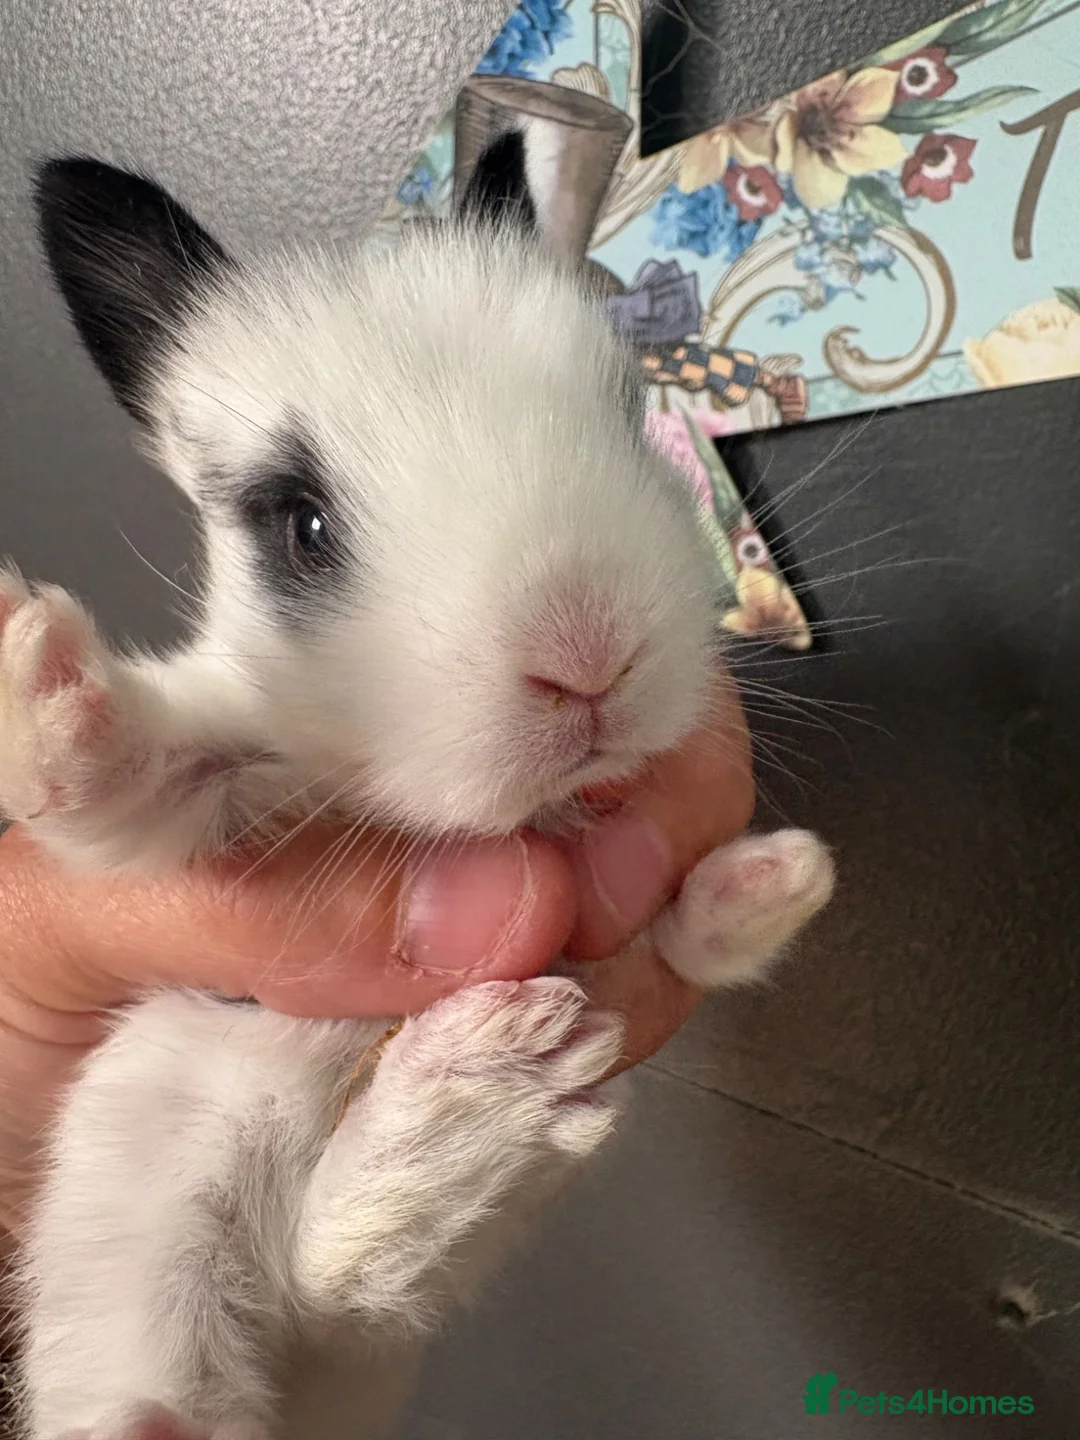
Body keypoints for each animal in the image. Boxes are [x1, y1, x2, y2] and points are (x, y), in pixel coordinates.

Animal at [1, 137, 834, 1440]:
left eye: (624, 416)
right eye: (300, 524)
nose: (588, 659)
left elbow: (664, 931)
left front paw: (765, 880)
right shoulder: (205, 787)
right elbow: (124, 787)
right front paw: (43, 675)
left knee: (353, 1289)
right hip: (156, 1176)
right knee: (296, 1293)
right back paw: (463, 1114)